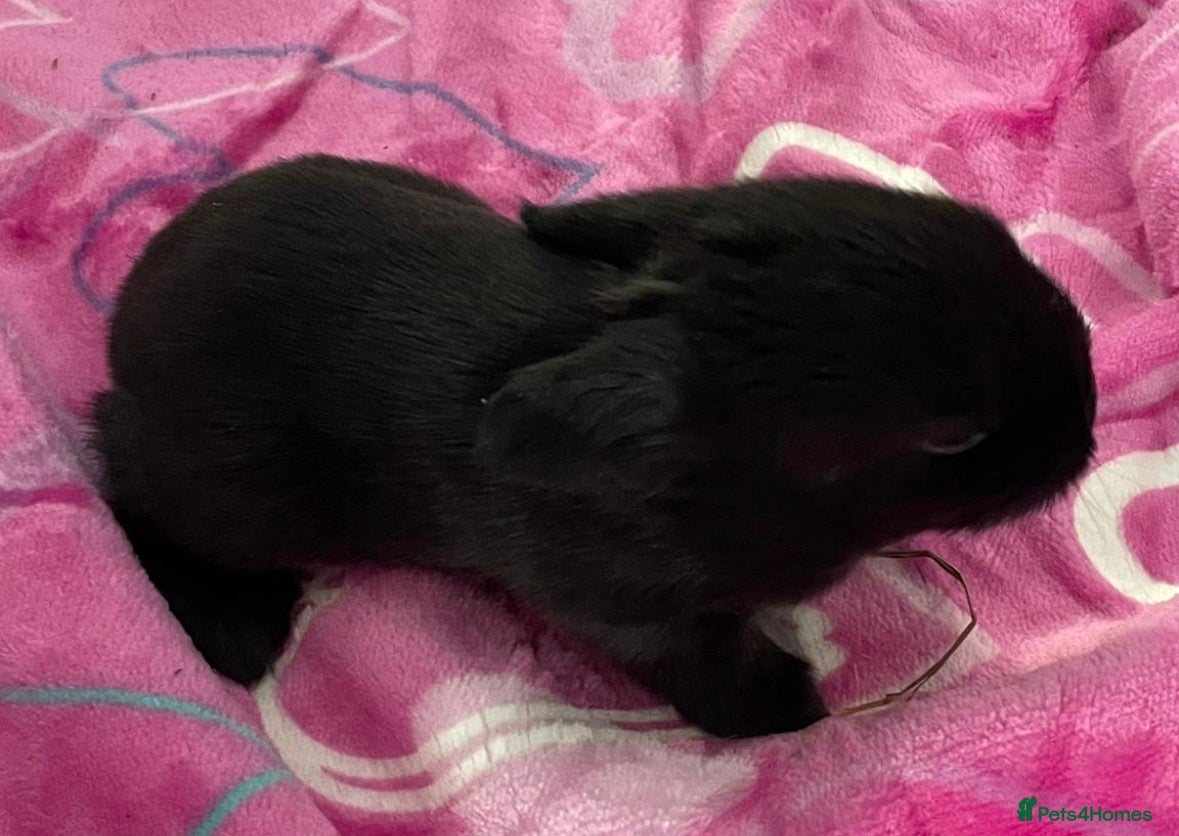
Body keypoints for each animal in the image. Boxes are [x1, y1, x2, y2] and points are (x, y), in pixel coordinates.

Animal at [90, 154, 1097, 738]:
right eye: (950, 435)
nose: (1086, 430)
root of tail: (132, 310)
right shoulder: (629, 613)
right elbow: (708, 666)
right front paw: (790, 710)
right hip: (225, 493)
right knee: (119, 474)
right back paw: (238, 626)